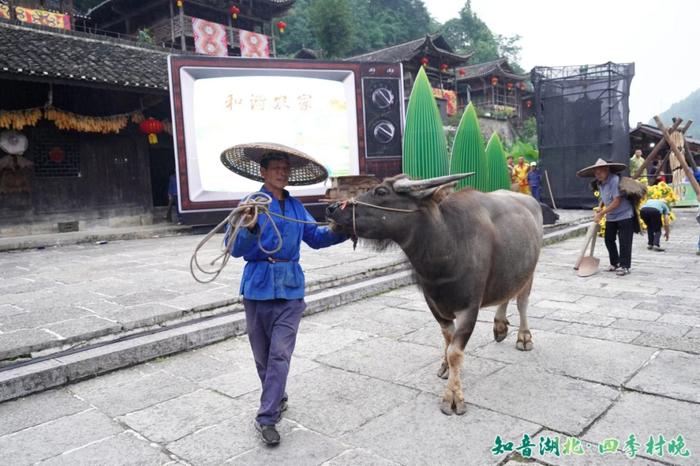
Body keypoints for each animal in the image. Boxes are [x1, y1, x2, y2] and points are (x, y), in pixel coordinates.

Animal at [326, 174, 544, 416]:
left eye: (381, 192)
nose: (332, 208)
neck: (447, 246)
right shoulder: (435, 305)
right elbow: (448, 341)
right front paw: (445, 368)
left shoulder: (469, 308)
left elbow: (455, 352)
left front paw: (453, 397)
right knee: (506, 293)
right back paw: (500, 327)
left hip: (530, 272)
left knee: (522, 302)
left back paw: (523, 337)